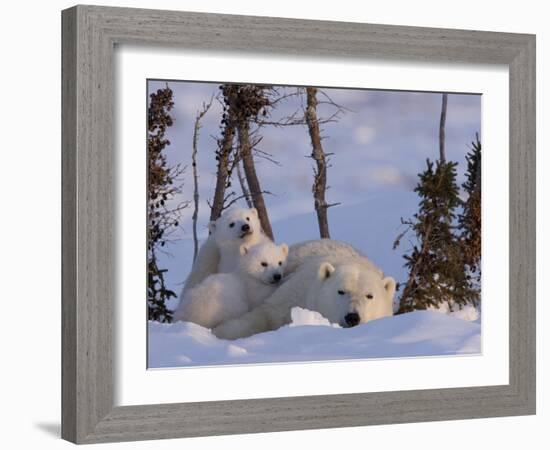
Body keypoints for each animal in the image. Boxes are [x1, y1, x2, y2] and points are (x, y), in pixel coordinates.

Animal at [212, 241, 396, 340]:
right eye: (341, 291)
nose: (352, 317)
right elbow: (264, 315)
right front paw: (221, 331)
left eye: (369, 296)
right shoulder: (296, 290)